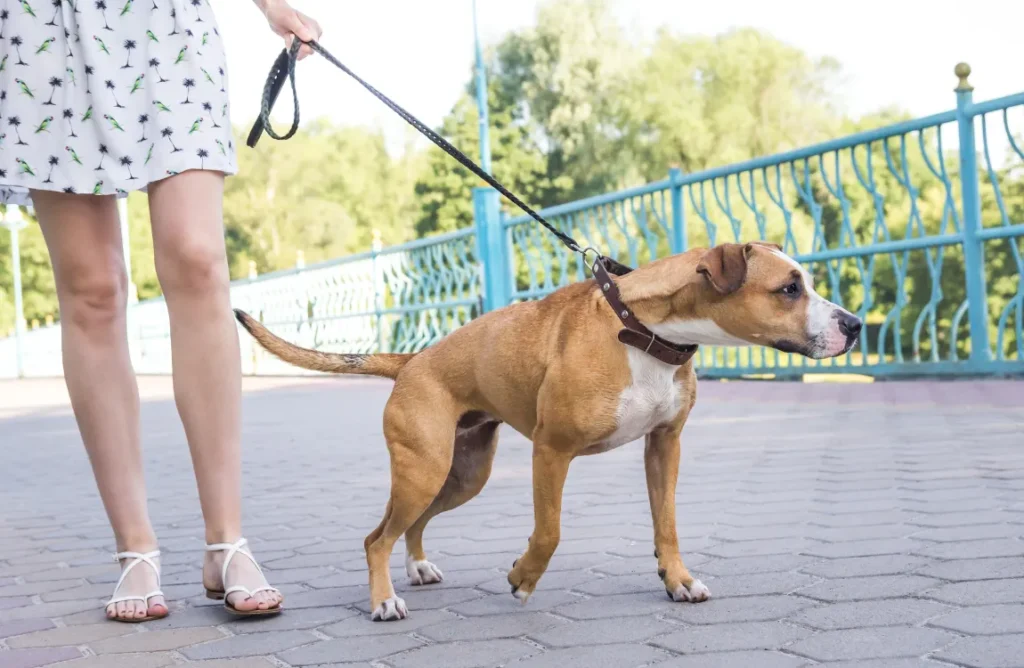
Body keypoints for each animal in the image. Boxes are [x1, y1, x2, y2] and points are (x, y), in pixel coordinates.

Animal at [235, 239, 860, 622]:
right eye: (789, 289)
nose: (854, 324)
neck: (643, 331)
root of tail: (412, 361)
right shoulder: (551, 451)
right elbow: (550, 532)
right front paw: (522, 577)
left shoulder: (665, 447)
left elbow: (668, 525)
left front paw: (677, 580)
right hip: (424, 469)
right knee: (375, 538)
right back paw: (385, 600)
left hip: (461, 474)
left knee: (410, 525)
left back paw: (415, 567)